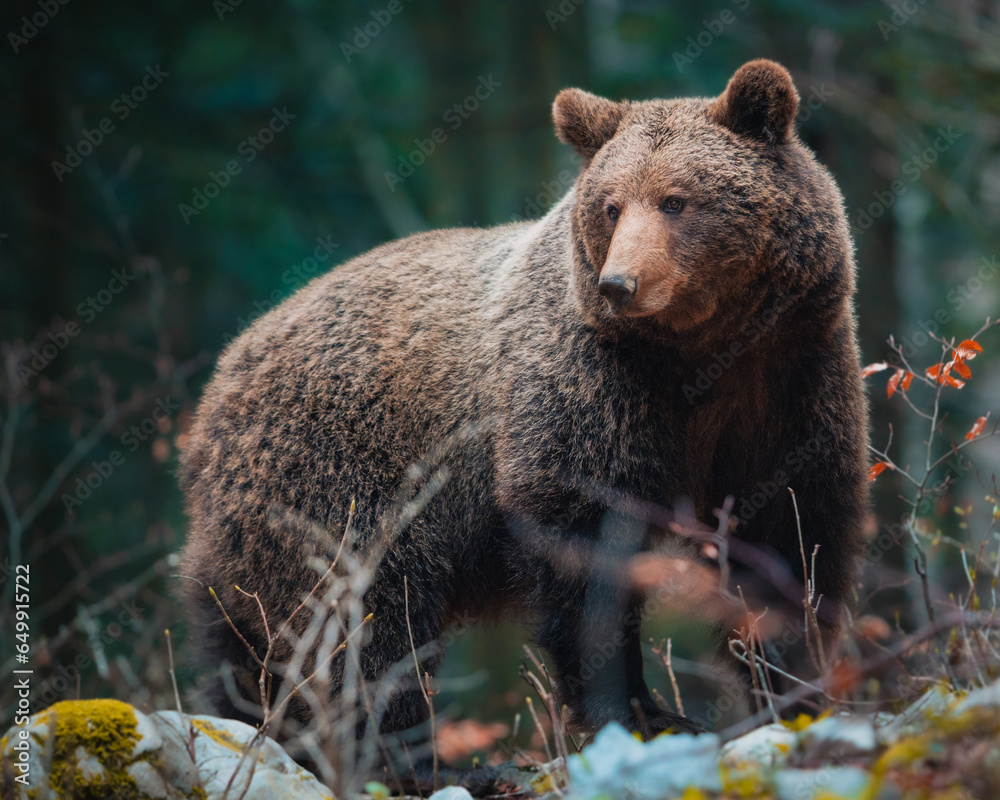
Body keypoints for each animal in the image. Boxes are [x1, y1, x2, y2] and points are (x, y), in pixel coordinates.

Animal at [178, 56, 868, 764]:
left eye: (676, 200)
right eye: (611, 206)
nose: (619, 283)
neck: (701, 351)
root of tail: (217, 388)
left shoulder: (788, 379)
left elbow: (788, 532)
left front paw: (794, 684)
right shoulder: (592, 387)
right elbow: (582, 542)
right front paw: (642, 711)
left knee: (246, 639)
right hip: (340, 476)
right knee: (360, 617)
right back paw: (398, 752)